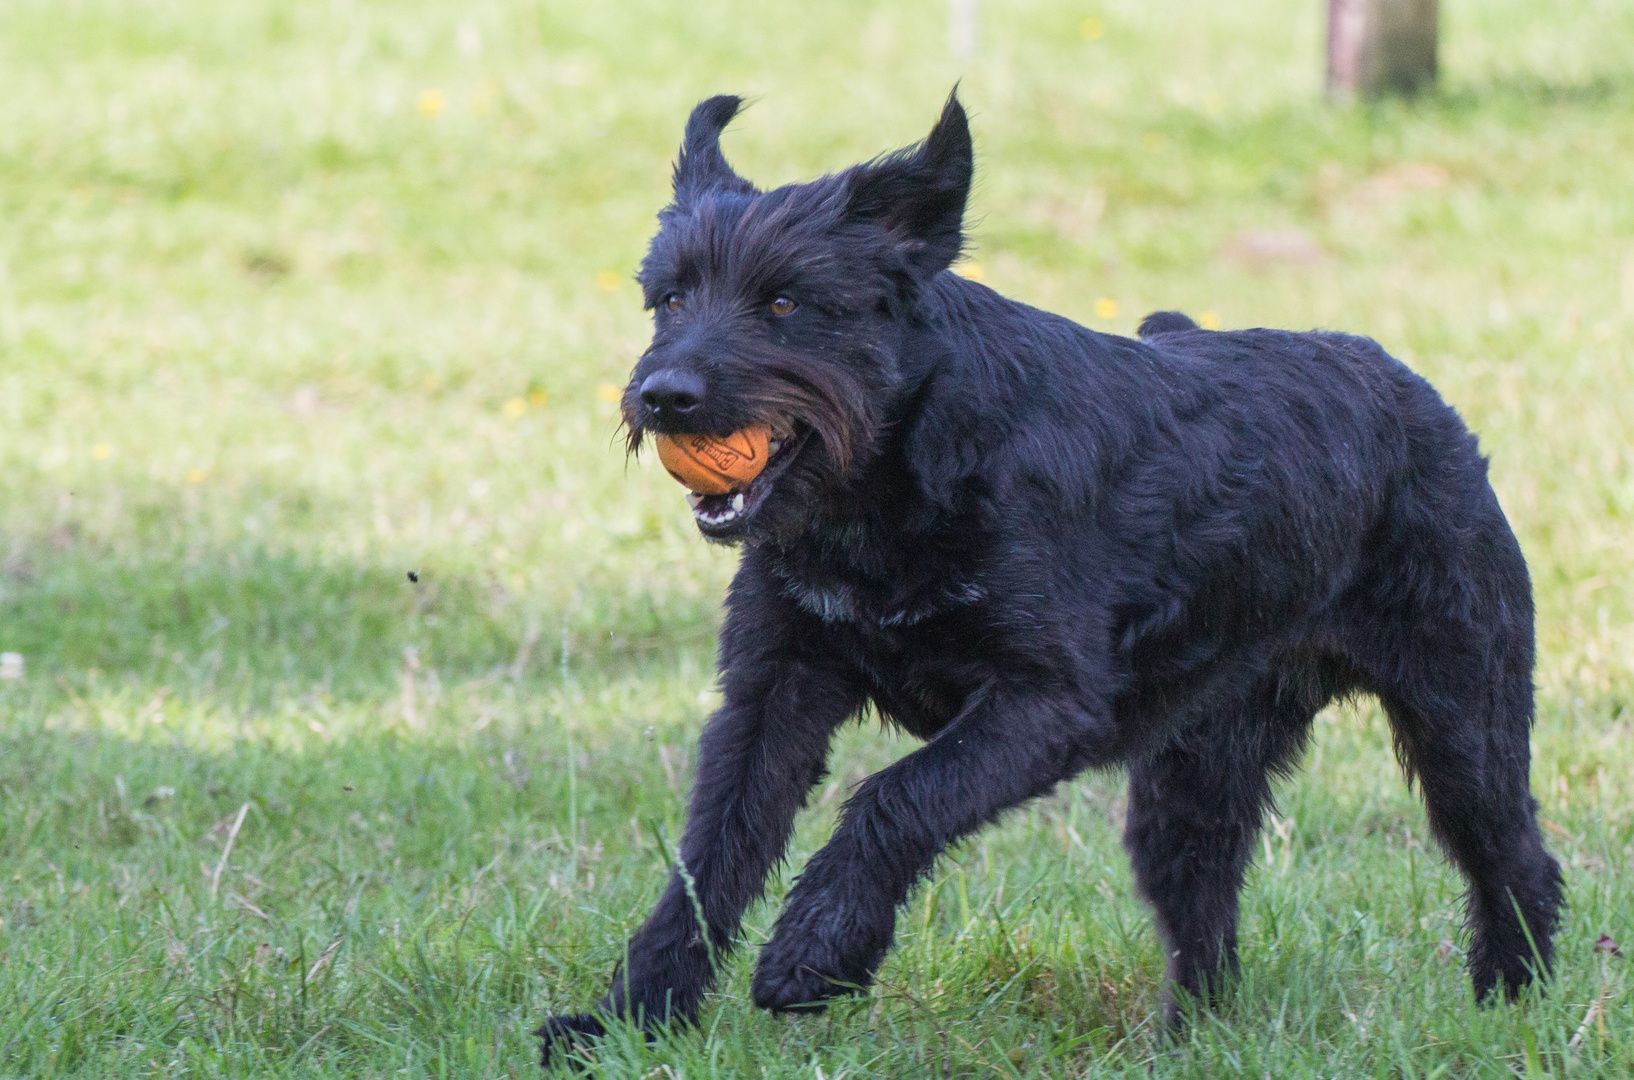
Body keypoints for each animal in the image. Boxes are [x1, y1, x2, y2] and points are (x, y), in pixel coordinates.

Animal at [535, 90, 1555, 1058]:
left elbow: (894, 798)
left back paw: (1516, 1003)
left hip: (1462, 719)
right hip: (1195, 774)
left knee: (1516, 858)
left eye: (786, 302)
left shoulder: (1043, 703)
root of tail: (1417, 396)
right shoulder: (772, 692)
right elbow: (711, 859)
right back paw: (1191, 1040)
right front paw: (625, 1021)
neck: (889, 493)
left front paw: (815, 950)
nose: (665, 397)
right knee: (1205, 907)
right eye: (669, 298)